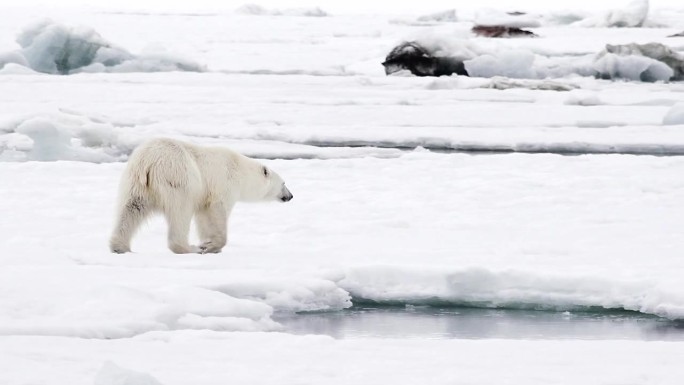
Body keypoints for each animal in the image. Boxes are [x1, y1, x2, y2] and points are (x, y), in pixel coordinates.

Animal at [109, 136, 294, 254]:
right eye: (284, 183)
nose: (290, 196)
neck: (240, 170)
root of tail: (147, 161)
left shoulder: (205, 195)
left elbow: (204, 217)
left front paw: (209, 244)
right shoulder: (223, 185)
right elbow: (217, 211)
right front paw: (209, 246)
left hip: (135, 183)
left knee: (130, 209)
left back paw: (119, 246)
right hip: (178, 178)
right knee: (181, 211)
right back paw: (189, 248)